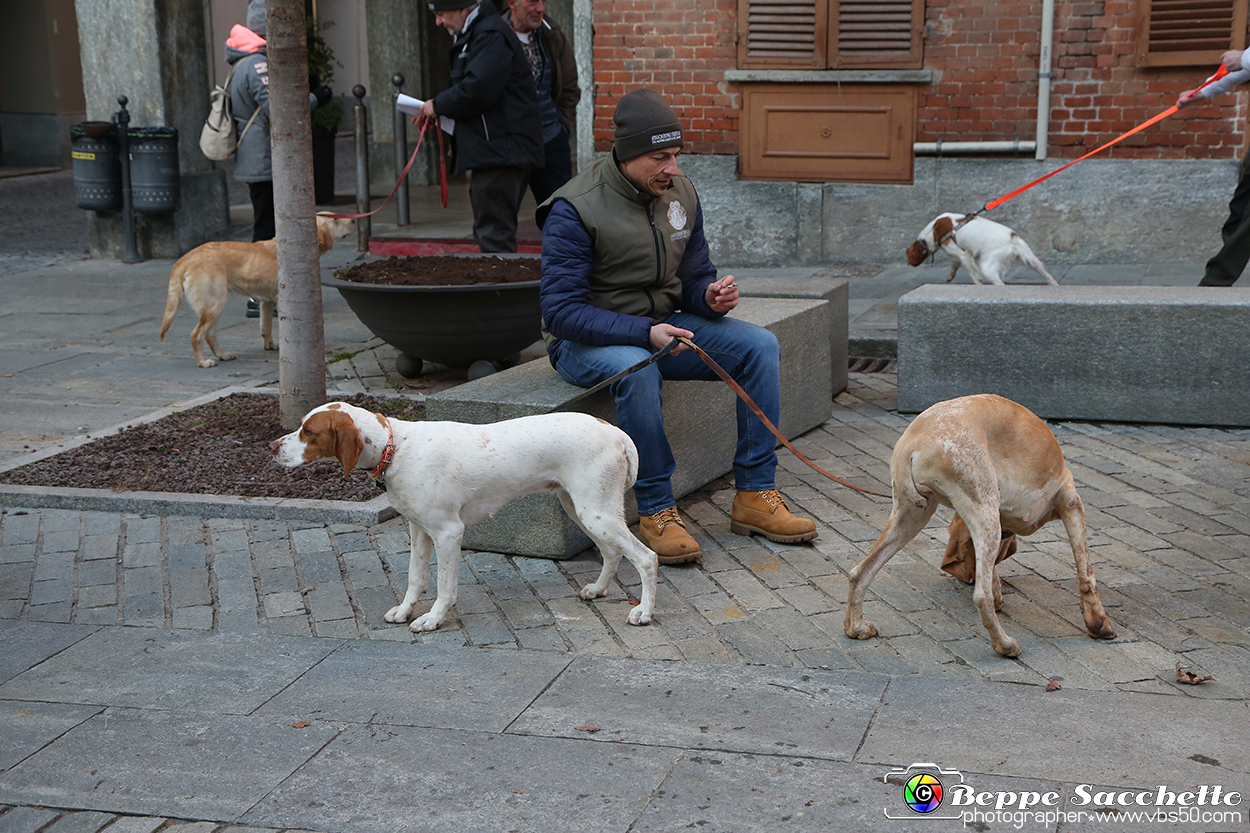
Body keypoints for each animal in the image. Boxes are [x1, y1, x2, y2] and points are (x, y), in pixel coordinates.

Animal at [158, 213, 352, 367]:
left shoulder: (267, 301)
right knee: (196, 335)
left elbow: (265, 326)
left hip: (213, 306)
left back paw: (221, 355)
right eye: (335, 219)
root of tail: (185, 258)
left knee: (209, 334)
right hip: (214, 305)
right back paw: (203, 362)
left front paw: (270, 346)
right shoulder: (281, 300)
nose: (353, 221)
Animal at [271, 402, 665, 630]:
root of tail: (611, 428)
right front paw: (405, 611)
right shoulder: (418, 529)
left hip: (595, 511)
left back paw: (644, 612)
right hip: (583, 508)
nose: (272, 447)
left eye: (308, 432)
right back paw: (598, 589)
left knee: (646, 558)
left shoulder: (448, 532)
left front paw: (432, 618)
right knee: (612, 552)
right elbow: (415, 578)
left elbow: (445, 586)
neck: (396, 449)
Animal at [845, 392, 1120, 660]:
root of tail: (913, 442)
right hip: (984, 513)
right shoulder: (1071, 502)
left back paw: (855, 627)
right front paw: (1098, 622)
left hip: (912, 516)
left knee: (860, 572)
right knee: (981, 596)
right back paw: (1005, 645)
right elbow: (1086, 572)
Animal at [910, 212, 1055, 287]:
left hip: (988, 268)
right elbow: (956, 263)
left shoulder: (958, 251)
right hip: (1031, 259)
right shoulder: (965, 253)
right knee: (1048, 275)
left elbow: (973, 274)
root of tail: (1012, 238)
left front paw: (978, 285)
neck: (932, 230)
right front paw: (951, 275)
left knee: (1000, 283)